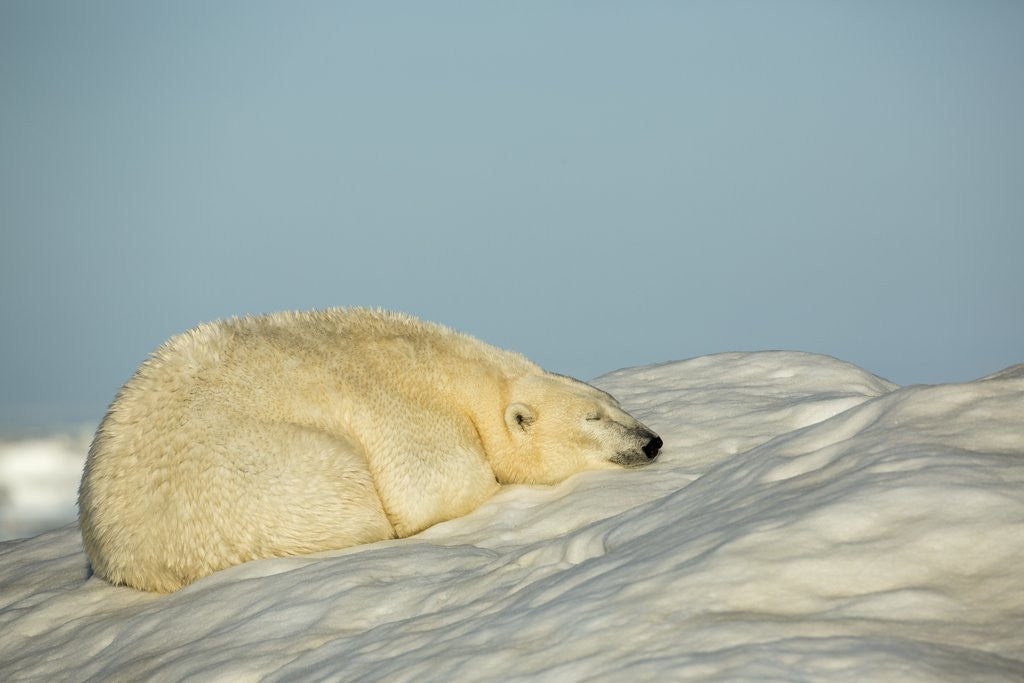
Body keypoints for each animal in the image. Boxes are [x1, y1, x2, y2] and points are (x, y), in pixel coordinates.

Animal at [78, 308, 662, 592]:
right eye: (593, 418)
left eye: (616, 405)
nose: (651, 441)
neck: (465, 381)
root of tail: (129, 556)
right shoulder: (413, 417)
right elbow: (434, 490)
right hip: (263, 478)